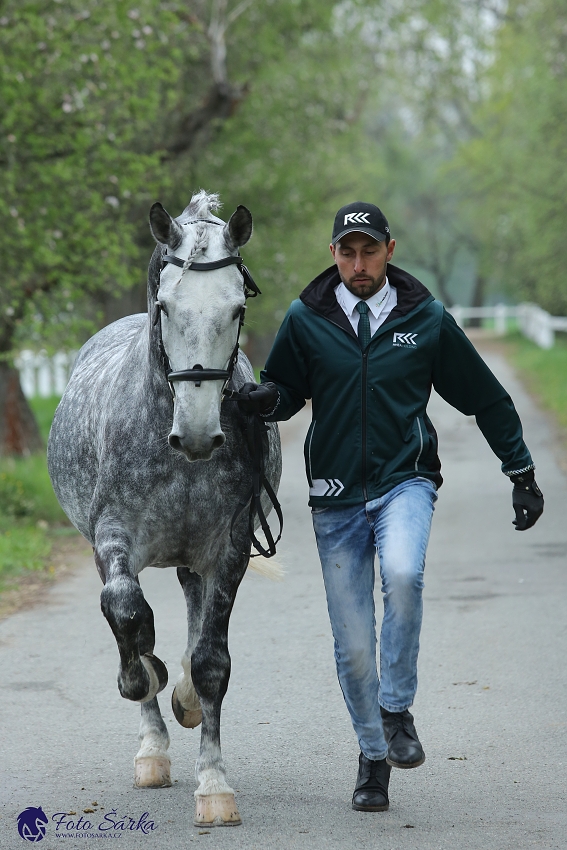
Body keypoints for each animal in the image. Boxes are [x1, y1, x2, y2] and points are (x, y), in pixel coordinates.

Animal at [47, 189, 282, 824]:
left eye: (236, 309)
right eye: (166, 306)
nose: (197, 434)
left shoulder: (228, 550)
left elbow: (210, 662)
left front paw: (214, 785)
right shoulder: (113, 541)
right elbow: (129, 617)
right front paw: (143, 680)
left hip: (194, 559)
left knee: (195, 623)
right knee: (131, 618)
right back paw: (152, 746)